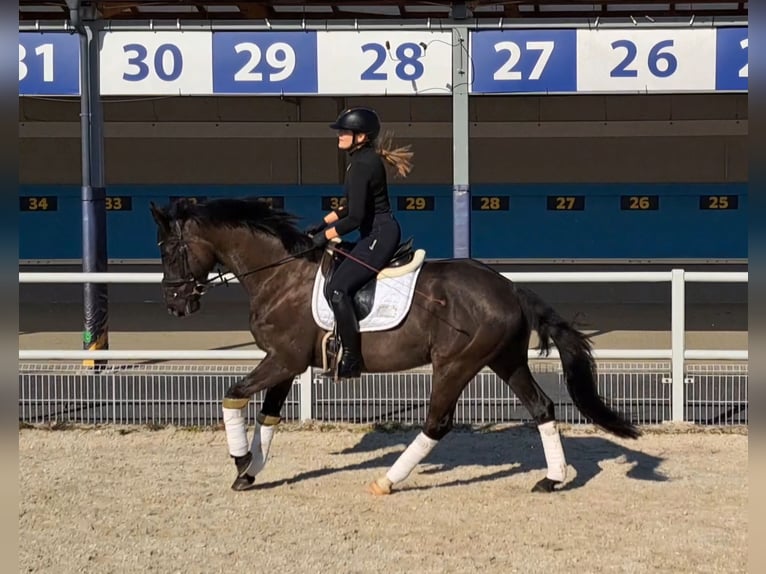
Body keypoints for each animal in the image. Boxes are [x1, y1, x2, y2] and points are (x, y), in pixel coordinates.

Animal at [150, 198, 640, 496]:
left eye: (170, 250)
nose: (175, 305)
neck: (280, 273)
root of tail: (510, 288)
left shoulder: (282, 359)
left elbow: (232, 395)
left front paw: (239, 462)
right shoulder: (286, 364)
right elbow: (268, 417)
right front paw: (249, 471)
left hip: (455, 365)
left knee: (437, 423)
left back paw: (386, 481)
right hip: (504, 360)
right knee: (542, 408)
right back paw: (552, 480)